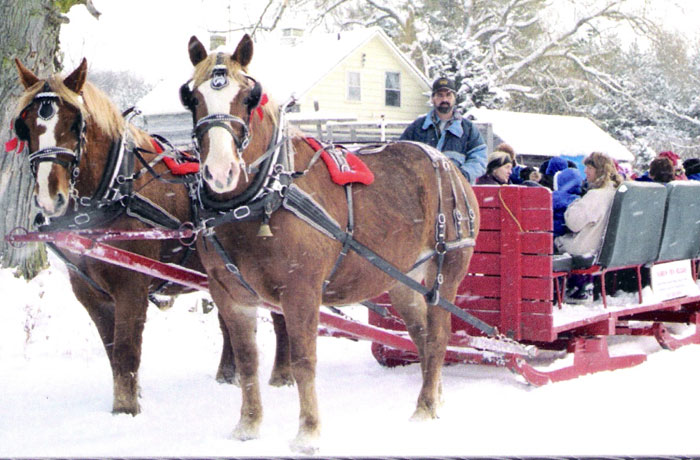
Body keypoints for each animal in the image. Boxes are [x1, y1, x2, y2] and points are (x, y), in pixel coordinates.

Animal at [13, 59, 292, 416]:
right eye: (24, 125)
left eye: (76, 123)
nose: (51, 197)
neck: (115, 189)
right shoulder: (89, 291)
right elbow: (112, 349)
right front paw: (130, 397)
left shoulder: (131, 285)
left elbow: (127, 349)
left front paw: (126, 410)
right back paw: (227, 375)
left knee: (280, 315)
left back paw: (282, 376)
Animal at [183, 36, 482, 452]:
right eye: (192, 97)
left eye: (248, 97)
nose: (220, 171)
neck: (263, 195)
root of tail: (449, 165)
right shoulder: (229, 294)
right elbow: (246, 360)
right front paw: (248, 426)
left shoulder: (301, 291)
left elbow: (303, 360)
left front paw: (308, 433)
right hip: (403, 281)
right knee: (422, 337)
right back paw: (434, 396)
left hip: (446, 272)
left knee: (438, 337)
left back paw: (423, 408)